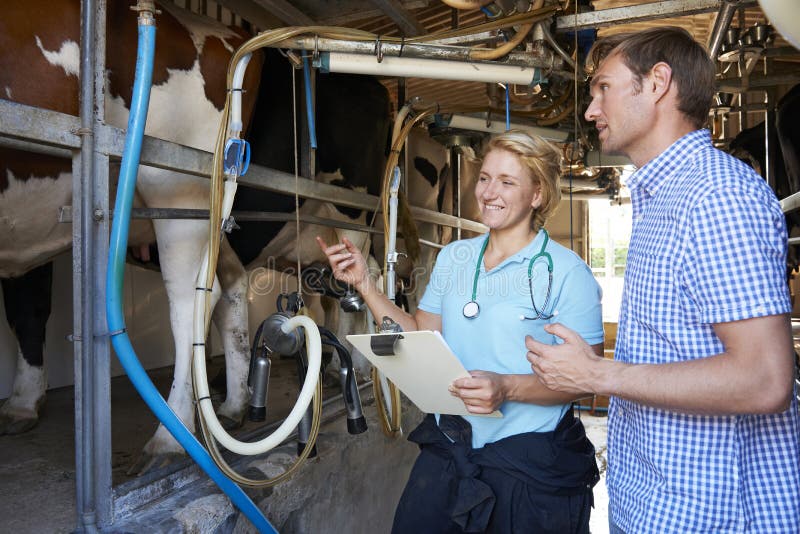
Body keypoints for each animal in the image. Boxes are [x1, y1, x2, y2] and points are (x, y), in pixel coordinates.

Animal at [0, 0, 394, 474]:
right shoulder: (29, 238)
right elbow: (26, 310)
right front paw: (22, 403)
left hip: (200, 193)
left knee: (202, 304)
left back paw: (173, 437)